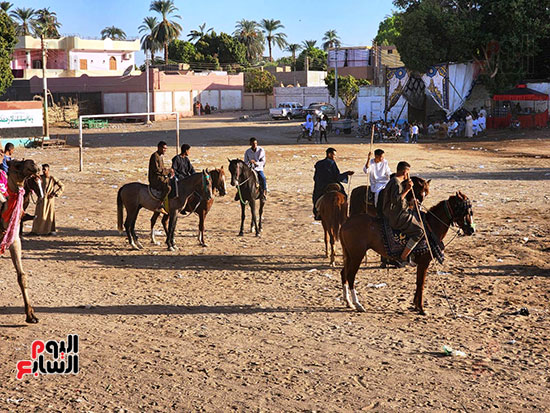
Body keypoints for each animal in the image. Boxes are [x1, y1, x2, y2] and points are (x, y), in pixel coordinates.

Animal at [338, 192, 476, 314]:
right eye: (464, 210)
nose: (471, 230)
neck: (430, 227)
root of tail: (345, 224)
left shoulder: (421, 264)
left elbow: (418, 283)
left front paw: (416, 305)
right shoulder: (424, 262)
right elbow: (421, 283)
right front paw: (421, 308)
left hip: (349, 255)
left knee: (343, 274)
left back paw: (348, 302)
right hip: (357, 255)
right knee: (350, 276)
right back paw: (357, 304)